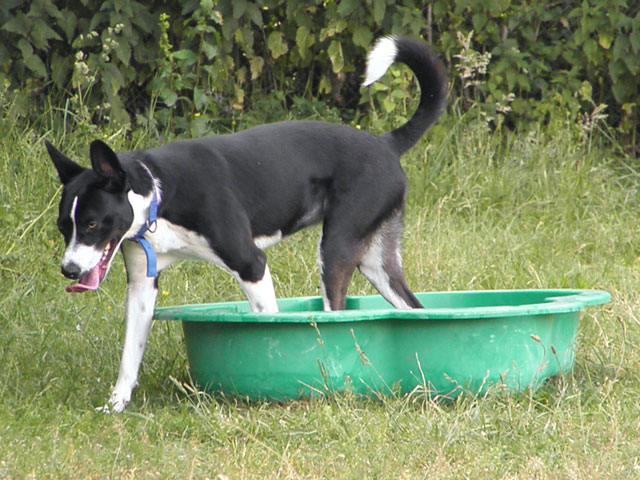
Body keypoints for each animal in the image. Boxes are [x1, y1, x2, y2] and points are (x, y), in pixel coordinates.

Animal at [46, 36, 444, 412]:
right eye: (65, 227)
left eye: (92, 224)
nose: (68, 270)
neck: (159, 192)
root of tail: (385, 143)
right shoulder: (142, 286)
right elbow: (130, 355)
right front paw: (116, 405)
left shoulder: (251, 264)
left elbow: (266, 324)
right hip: (377, 264)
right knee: (413, 309)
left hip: (336, 252)